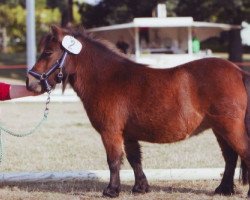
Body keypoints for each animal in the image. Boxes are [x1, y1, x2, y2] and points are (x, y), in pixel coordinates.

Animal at [26, 25, 250, 198]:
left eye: (47, 52)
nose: (30, 83)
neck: (108, 78)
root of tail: (238, 72)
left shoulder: (110, 132)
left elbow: (114, 160)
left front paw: (111, 190)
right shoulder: (129, 134)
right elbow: (135, 159)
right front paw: (140, 187)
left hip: (229, 128)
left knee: (242, 152)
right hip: (219, 129)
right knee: (230, 157)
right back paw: (223, 189)